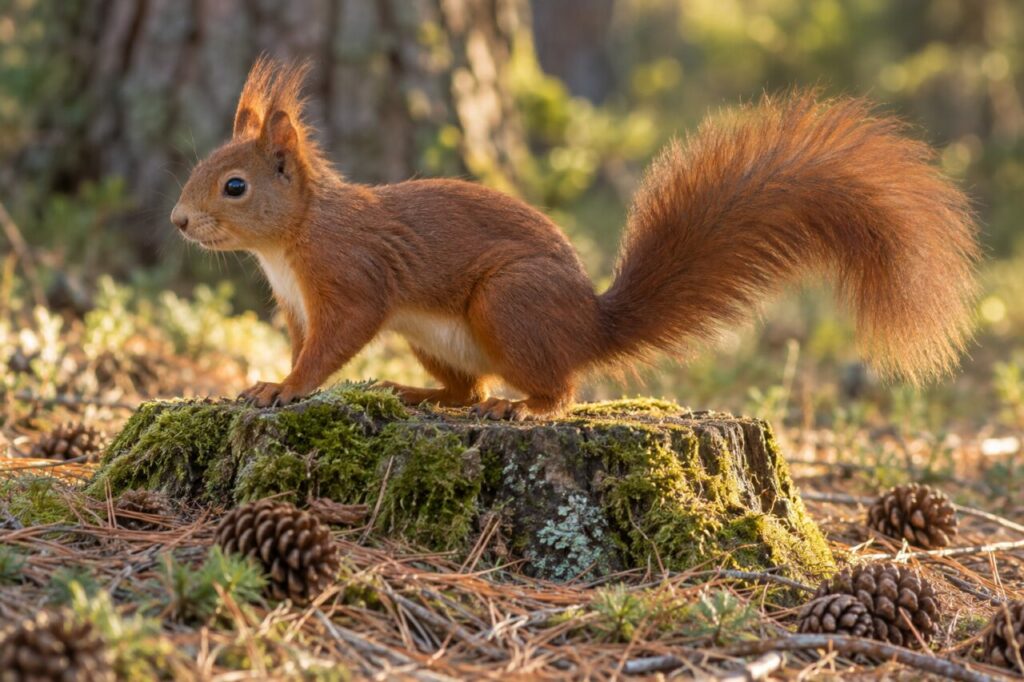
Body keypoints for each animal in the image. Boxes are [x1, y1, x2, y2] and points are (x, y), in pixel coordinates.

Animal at [171, 58, 979, 420]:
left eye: (234, 186)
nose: (178, 220)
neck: (290, 241)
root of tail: (589, 326)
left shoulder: (351, 278)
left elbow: (334, 343)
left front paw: (288, 387)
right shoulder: (294, 304)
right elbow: (299, 342)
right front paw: (268, 378)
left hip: (507, 303)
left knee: (557, 390)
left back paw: (524, 407)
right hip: (440, 336)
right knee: (465, 389)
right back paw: (418, 391)